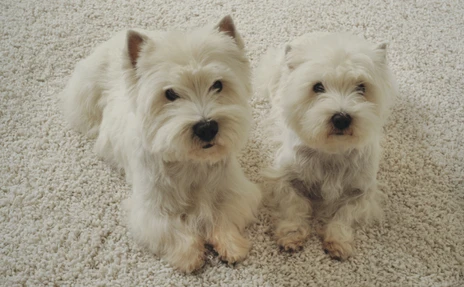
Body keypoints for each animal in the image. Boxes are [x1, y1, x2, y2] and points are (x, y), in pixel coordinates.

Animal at [62, 16, 260, 274]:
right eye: (171, 94)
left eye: (218, 85)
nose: (207, 128)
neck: (191, 162)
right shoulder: (151, 208)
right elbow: (170, 229)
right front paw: (190, 256)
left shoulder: (234, 190)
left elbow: (225, 214)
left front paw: (231, 246)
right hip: (85, 97)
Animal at [256, 32, 396, 260]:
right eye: (317, 87)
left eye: (361, 87)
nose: (341, 118)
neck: (332, 151)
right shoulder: (283, 179)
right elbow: (294, 205)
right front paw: (291, 235)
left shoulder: (363, 192)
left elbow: (345, 214)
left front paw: (338, 242)